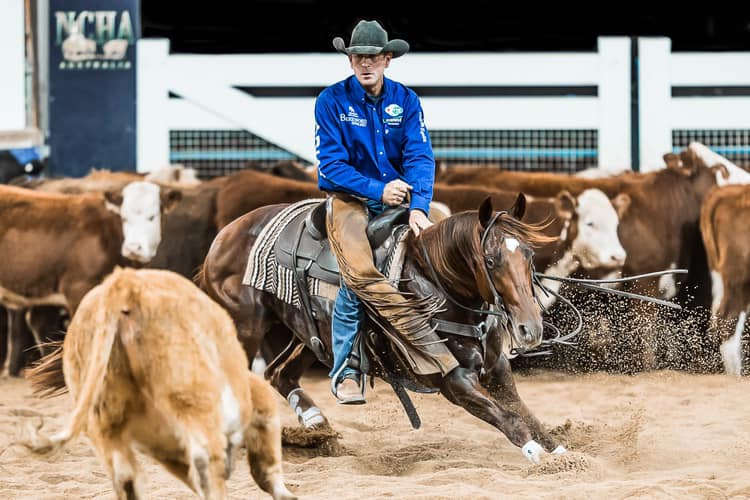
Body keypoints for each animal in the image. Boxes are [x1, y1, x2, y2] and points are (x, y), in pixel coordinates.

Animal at [199, 193, 568, 464]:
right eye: (490, 261)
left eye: (529, 256)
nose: (530, 328)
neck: (435, 284)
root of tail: (225, 235)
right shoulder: (452, 379)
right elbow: (509, 419)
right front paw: (536, 453)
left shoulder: (497, 369)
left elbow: (527, 414)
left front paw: (560, 452)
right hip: (244, 329)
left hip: (312, 337)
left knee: (278, 373)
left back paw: (317, 426)